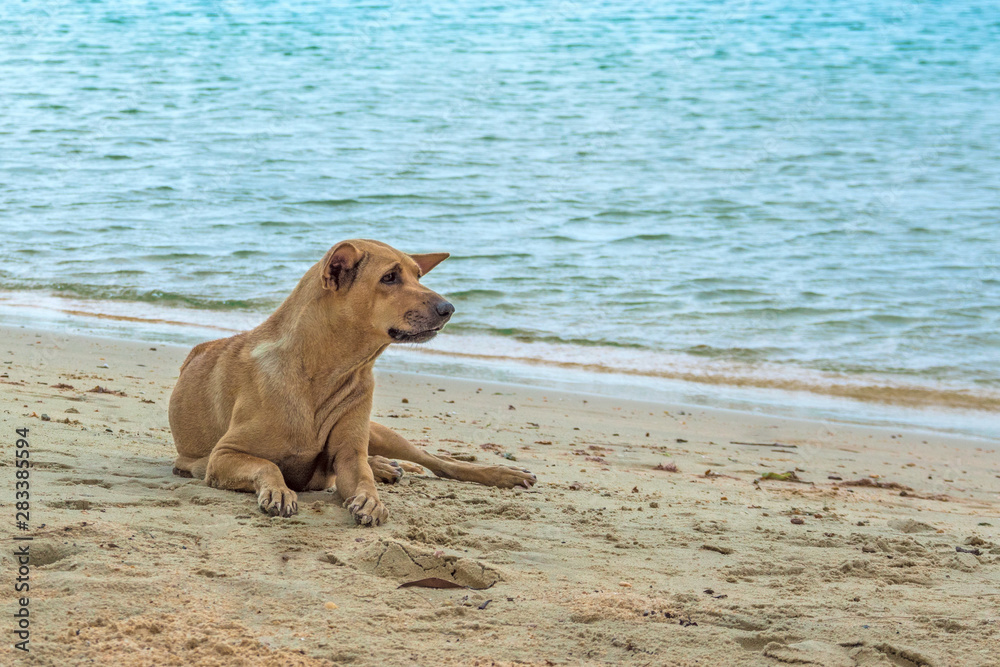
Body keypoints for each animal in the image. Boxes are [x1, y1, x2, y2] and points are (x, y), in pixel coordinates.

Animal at [168, 240, 536, 528]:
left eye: (418, 275)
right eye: (389, 277)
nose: (449, 308)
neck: (329, 370)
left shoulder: (348, 455)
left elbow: (361, 478)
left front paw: (371, 498)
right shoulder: (224, 456)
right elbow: (267, 465)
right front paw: (279, 490)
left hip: (380, 432)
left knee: (440, 463)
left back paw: (499, 474)